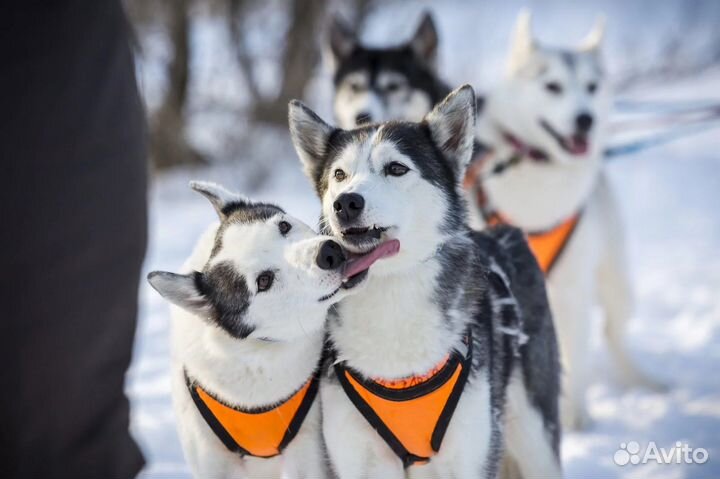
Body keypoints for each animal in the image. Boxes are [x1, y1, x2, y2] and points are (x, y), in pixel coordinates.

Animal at [148, 182, 394, 478]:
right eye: (264, 281)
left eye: (283, 226)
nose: (329, 252)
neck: (254, 356)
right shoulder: (211, 461)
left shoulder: (306, 451)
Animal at [290, 87, 560, 479]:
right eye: (339, 174)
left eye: (396, 168)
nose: (346, 202)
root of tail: (502, 233)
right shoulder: (358, 459)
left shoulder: (467, 459)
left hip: (535, 437)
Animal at [466, 12, 664, 432]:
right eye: (552, 86)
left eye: (591, 87)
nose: (585, 118)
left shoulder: (575, 289)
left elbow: (578, 356)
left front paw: (578, 417)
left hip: (615, 283)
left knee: (613, 335)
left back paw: (644, 380)